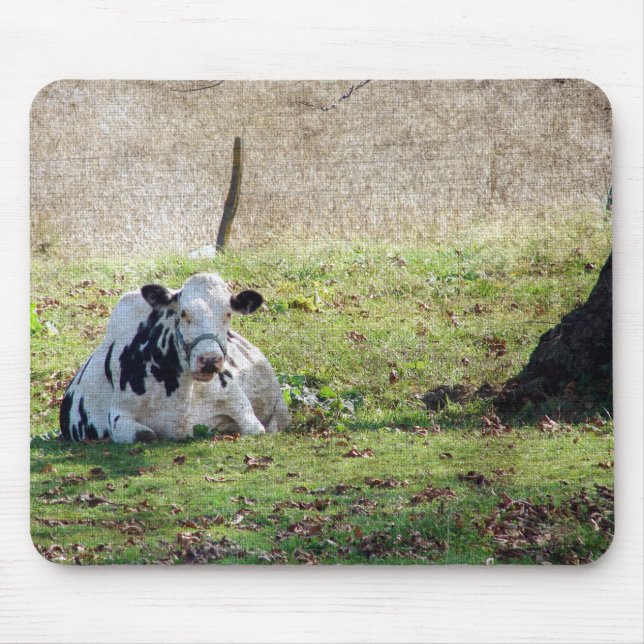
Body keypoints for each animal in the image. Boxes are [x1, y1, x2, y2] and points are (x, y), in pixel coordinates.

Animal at [59, 273, 290, 442]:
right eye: (184, 313)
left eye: (228, 314)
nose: (209, 360)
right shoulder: (119, 416)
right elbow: (145, 435)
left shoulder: (241, 406)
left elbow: (256, 429)